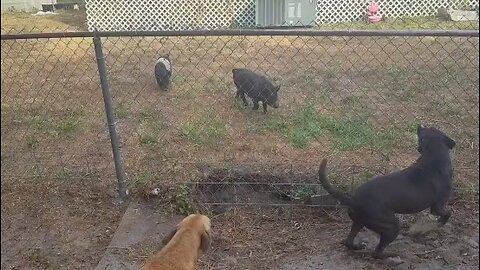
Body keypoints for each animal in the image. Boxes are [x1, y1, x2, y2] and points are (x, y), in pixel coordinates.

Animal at [318, 125, 454, 258]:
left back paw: (358, 247)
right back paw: (392, 254)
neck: (433, 155)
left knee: (349, 241)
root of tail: (353, 199)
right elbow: (447, 213)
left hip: (359, 222)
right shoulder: (438, 206)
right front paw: (438, 223)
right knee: (377, 253)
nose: (419, 126)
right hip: (391, 225)